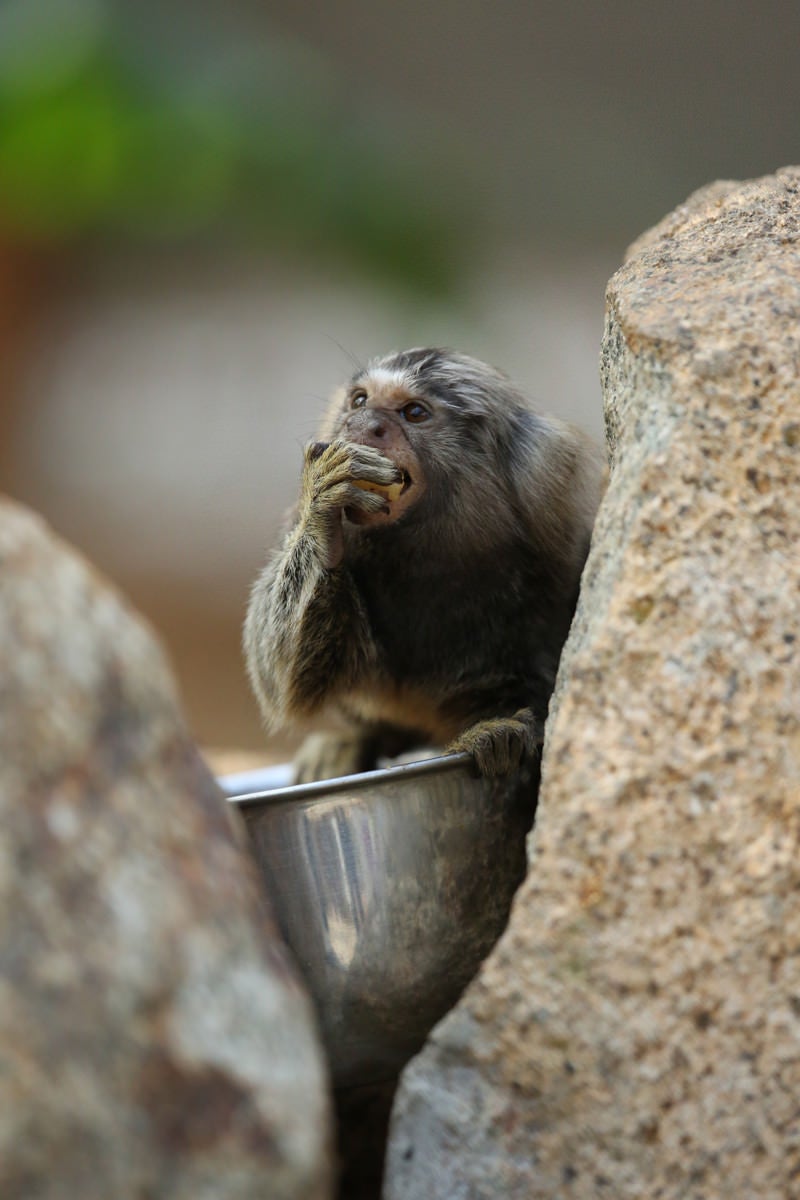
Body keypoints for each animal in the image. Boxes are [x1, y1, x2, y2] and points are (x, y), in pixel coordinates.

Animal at [244, 348, 606, 782]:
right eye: (360, 401)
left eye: (414, 413)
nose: (361, 424)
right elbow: (284, 678)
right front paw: (325, 503)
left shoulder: (562, 535)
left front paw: (501, 735)